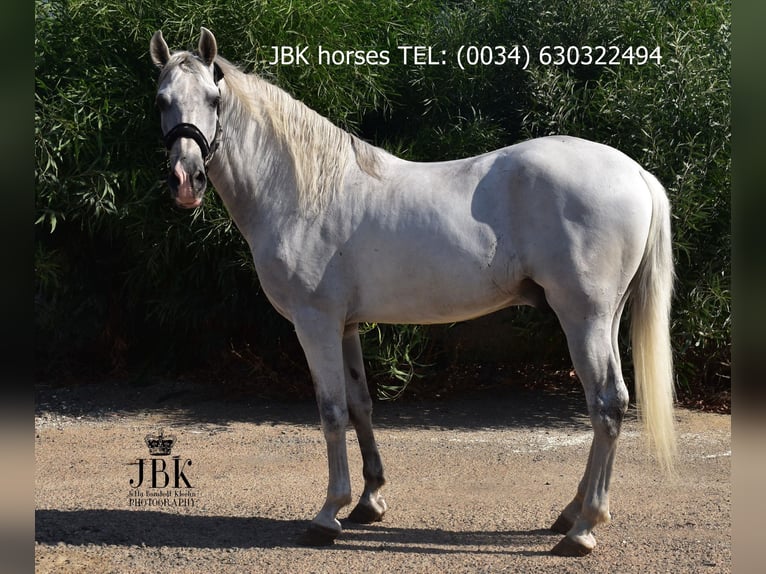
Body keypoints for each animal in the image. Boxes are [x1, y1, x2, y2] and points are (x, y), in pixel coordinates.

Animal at [149, 27, 676, 556]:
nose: (186, 181)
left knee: (606, 404)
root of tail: (635, 173)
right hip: (604, 317)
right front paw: (369, 502)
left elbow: (331, 411)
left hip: (583, 316)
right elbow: (360, 406)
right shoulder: (346, 326)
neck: (304, 191)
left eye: (214, 99)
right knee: (605, 404)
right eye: (162, 100)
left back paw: (583, 529)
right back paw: (571, 513)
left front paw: (327, 515)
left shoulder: (315, 322)